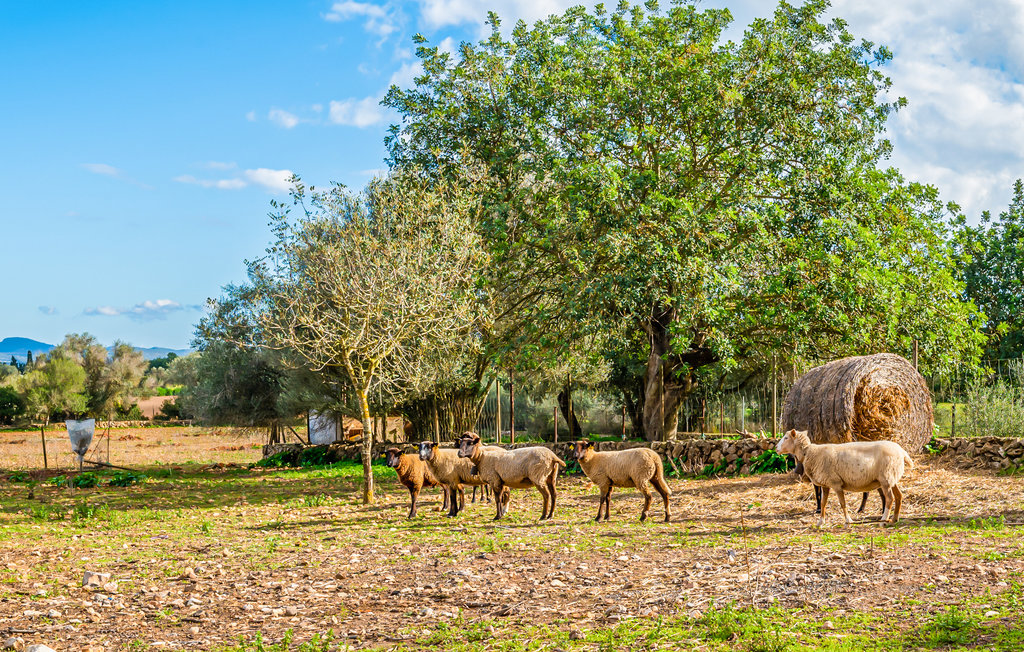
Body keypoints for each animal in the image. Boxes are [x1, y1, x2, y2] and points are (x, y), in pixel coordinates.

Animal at [774, 429, 913, 528]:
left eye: (786, 437)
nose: (776, 448)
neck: (810, 453)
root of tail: (902, 451)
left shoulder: (836, 483)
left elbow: (842, 503)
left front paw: (848, 521)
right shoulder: (826, 484)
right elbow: (823, 503)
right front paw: (820, 522)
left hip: (886, 478)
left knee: (889, 499)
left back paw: (883, 521)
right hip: (891, 478)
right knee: (899, 496)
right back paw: (894, 519)